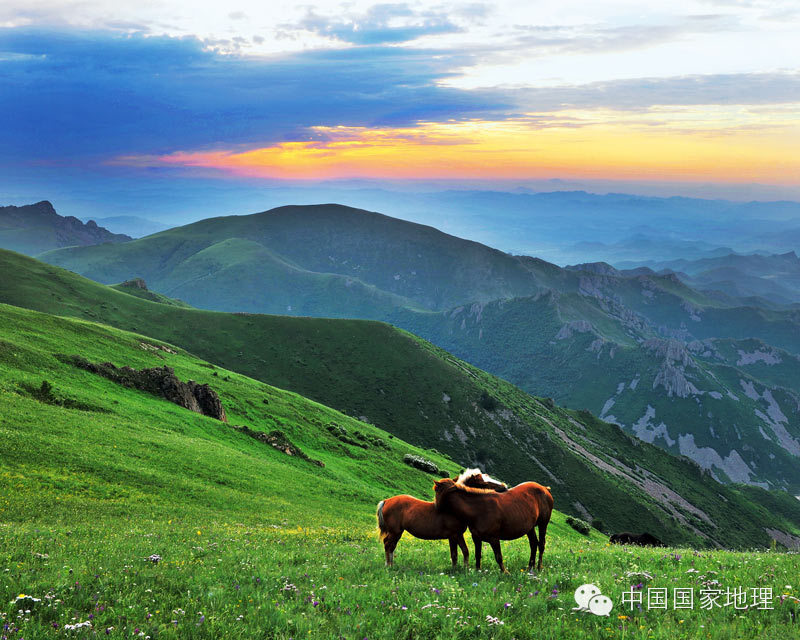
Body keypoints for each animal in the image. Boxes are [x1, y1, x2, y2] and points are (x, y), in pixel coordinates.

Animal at [376, 468, 506, 568]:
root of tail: (386, 501)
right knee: (388, 544)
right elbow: (464, 552)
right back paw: (388, 565)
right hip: (395, 531)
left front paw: (456, 569)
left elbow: (456, 554)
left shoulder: (453, 537)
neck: (453, 508)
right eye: (482, 482)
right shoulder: (456, 535)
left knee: (391, 546)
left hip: (398, 532)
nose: (504, 487)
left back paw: (391, 564)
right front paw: (465, 569)